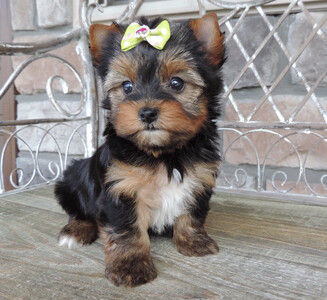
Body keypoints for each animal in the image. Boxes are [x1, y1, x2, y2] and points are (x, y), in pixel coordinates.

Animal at [55, 12, 226, 288]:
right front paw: (131, 265)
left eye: (177, 83)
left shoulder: (200, 178)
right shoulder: (120, 187)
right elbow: (127, 229)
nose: (146, 113)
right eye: (127, 87)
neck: (163, 153)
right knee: (79, 211)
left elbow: (191, 213)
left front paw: (194, 241)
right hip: (71, 180)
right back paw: (76, 230)